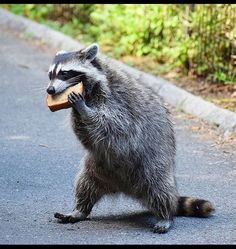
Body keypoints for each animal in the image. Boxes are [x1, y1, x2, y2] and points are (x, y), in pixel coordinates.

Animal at [47, 43, 215, 233]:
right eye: (51, 74)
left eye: (64, 73)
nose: (49, 90)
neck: (91, 88)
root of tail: (126, 188)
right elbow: (89, 137)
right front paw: (76, 110)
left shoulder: (118, 99)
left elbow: (115, 126)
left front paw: (83, 109)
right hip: (98, 167)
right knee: (86, 183)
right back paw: (80, 209)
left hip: (153, 162)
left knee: (159, 186)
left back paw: (165, 215)